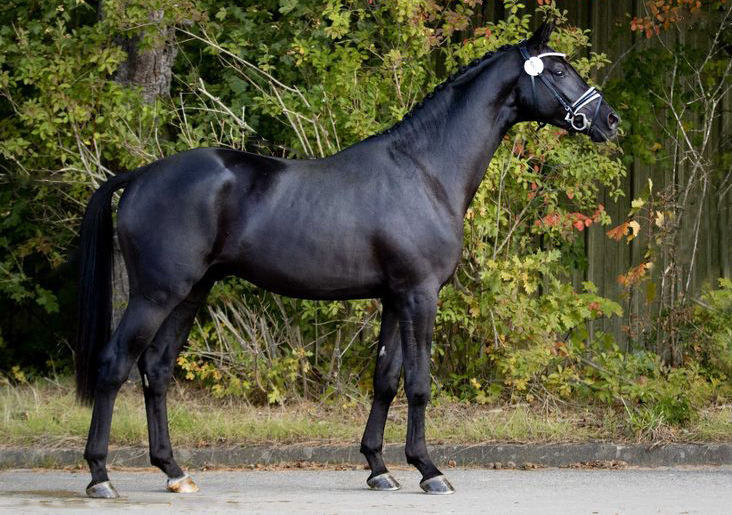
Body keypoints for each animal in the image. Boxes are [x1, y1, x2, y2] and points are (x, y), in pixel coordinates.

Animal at [77, 22, 616, 498]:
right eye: (560, 70)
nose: (610, 120)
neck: (425, 170)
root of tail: (140, 175)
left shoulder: (395, 298)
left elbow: (385, 379)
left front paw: (379, 467)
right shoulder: (419, 295)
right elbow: (418, 382)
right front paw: (429, 470)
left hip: (192, 291)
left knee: (157, 368)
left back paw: (174, 471)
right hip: (156, 293)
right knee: (115, 363)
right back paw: (100, 476)